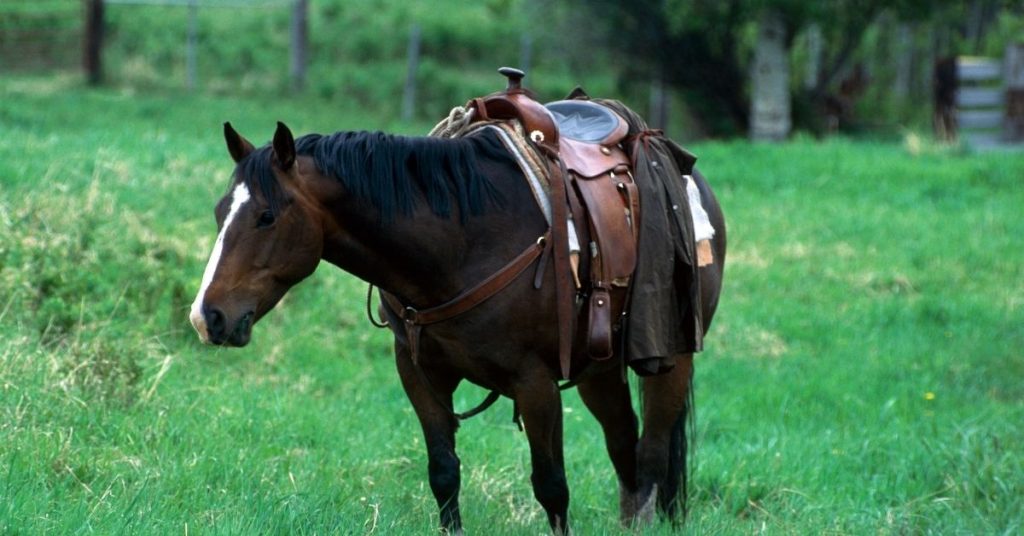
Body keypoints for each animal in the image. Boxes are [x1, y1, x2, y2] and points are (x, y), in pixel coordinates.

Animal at [188, 119, 726, 533]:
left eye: (266, 216)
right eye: (219, 211)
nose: (207, 316)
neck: (461, 244)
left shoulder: (534, 384)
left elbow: (552, 486)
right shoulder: (420, 374)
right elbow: (444, 473)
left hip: (669, 358)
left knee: (651, 457)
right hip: (600, 369)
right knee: (625, 449)